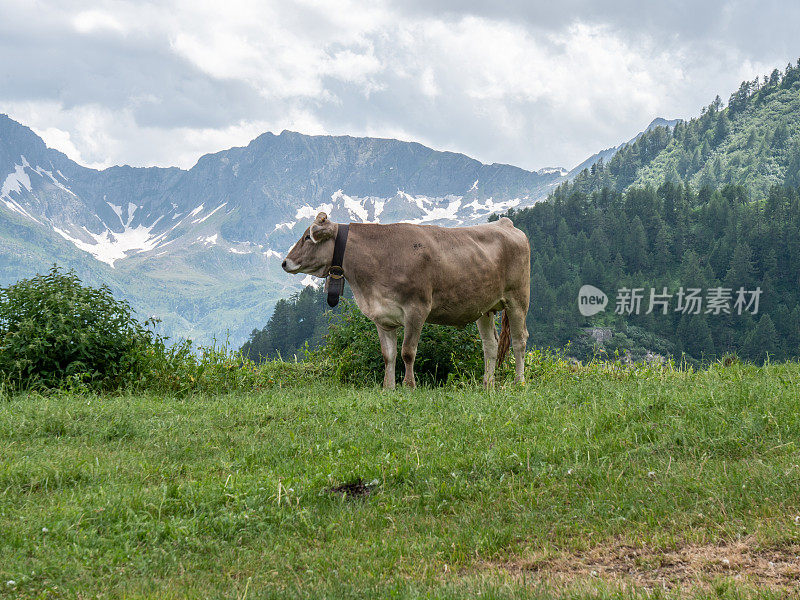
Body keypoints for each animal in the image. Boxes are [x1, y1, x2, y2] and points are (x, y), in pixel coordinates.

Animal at [282, 212, 532, 390]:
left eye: (307, 237)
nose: (285, 262)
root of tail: (505, 224)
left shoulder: (416, 309)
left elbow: (407, 352)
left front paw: (409, 385)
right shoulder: (382, 316)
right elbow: (388, 355)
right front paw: (388, 387)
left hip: (518, 298)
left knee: (520, 340)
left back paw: (519, 382)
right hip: (484, 307)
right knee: (490, 344)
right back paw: (487, 384)